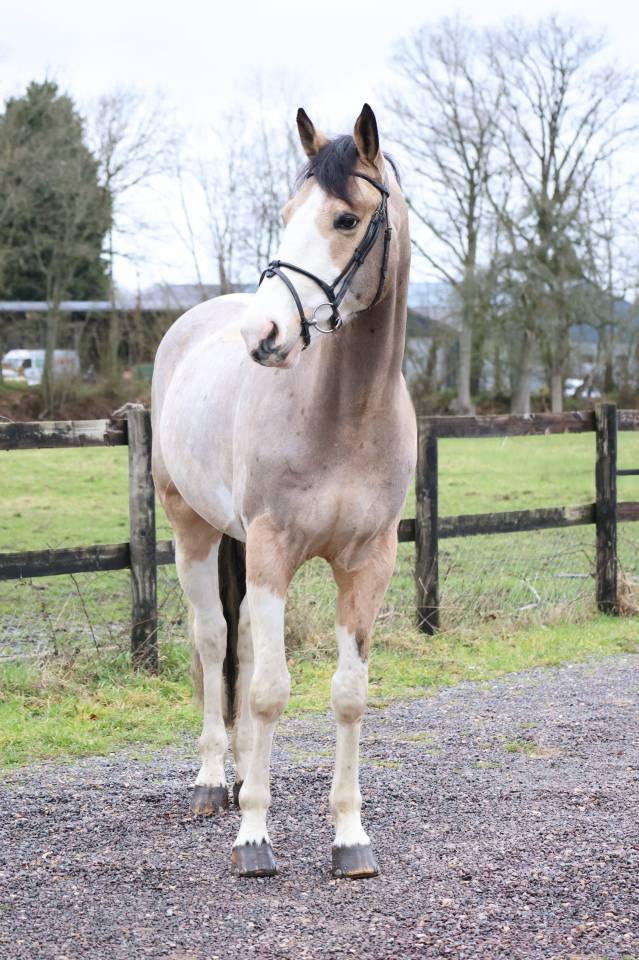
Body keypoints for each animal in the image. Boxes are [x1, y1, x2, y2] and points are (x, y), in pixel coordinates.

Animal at [151, 104, 416, 879]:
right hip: (194, 531)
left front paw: (350, 838)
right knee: (214, 640)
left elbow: (348, 696)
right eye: (288, 213)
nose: (263, 333)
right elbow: (270, 691)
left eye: (346, 218)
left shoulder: (369, 563)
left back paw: (242, 773)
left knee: (237, 644)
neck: (346, 412)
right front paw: (253, 838)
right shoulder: (273, 549)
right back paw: (216, 783)